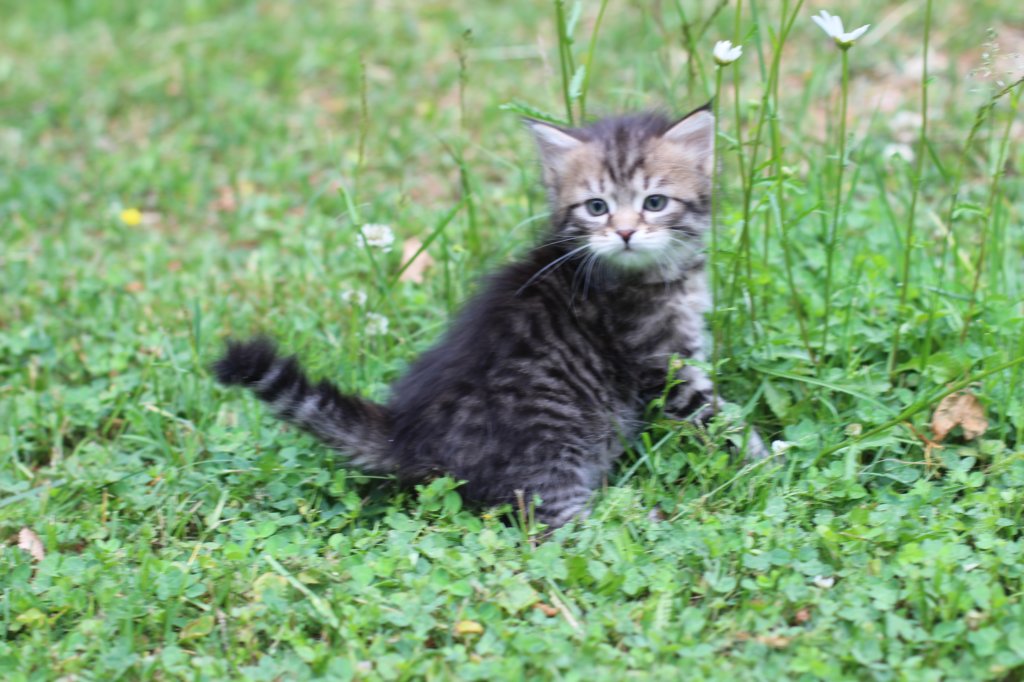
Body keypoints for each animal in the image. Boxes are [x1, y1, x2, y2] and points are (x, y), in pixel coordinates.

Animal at [213, 104, 768, 529]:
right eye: (596, 207)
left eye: (654, 202)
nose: (626, 232)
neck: (650, 274)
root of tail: (406, 433)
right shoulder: (662, 366)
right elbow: (717, 419)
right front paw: (766, 462)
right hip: (550, 447)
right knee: (553, 524)